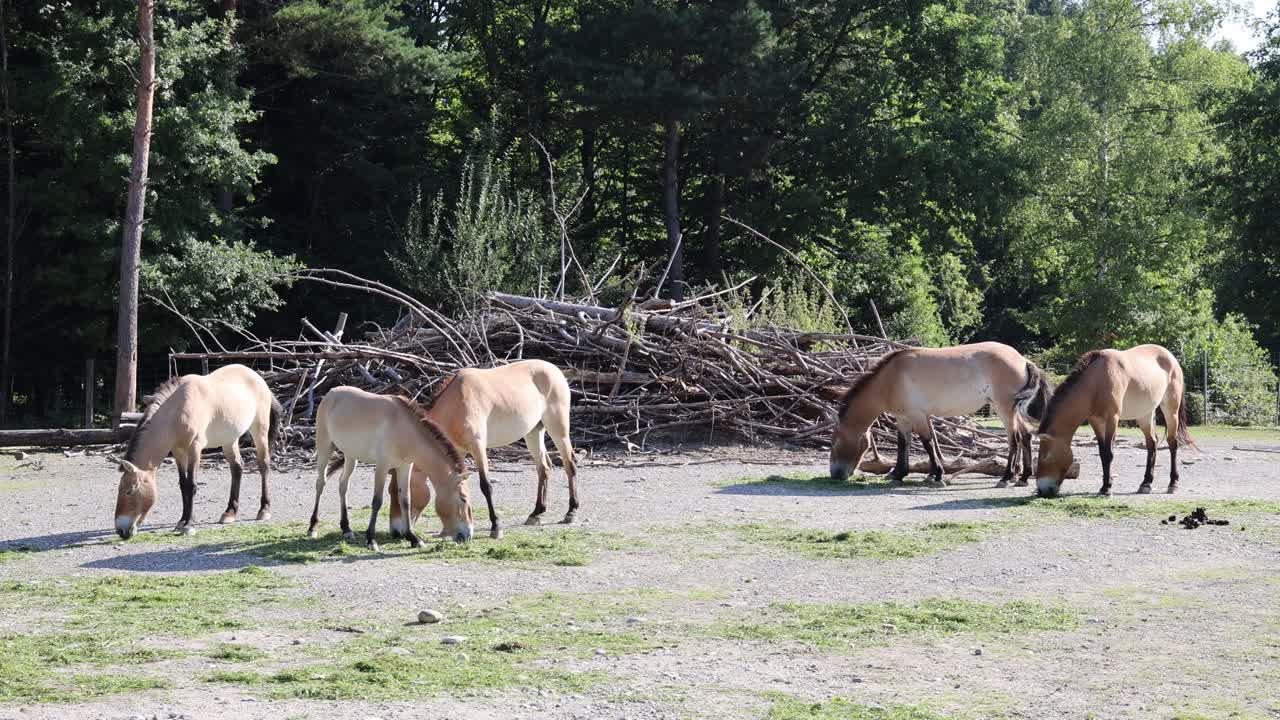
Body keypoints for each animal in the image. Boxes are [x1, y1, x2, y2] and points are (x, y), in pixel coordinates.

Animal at [113, 364, 282, 540]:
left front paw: (189, 525)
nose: (121, 530)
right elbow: (183, 484)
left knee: (263, 465)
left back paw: (264, 510)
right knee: (237, 468)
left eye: (130, 491)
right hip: (229, 439)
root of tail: (259, 378)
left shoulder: (194, 449)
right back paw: (229, 513)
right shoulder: (178, 451)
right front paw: (182, 521)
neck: (178, 411)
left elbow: (192, 485)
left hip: (259, 430)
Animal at [309, 386, 471, 550]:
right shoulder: (382, 466)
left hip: (351, 456)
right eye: (463, 499)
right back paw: (313, 528)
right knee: (320, 483)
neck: (402, 428)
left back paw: (346, 529)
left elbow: (406, 500)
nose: (468, 535)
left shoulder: (405, 467)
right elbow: (377, 502)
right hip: (324, 448)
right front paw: (371, 540)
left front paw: (413, 538)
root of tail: (331, 392)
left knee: (343, 485)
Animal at [385, 359, 578, 541]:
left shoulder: (478, 447)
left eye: (398, 492)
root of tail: (555, 370)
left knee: (570, 464)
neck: (456, 404)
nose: (396, 532)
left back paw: (571, 512)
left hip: (558, 429)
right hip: (533, 432)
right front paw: (446, 530)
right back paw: (536, 513)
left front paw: (496, 528)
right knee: (544, 468)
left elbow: (485, 486)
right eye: (390, 492)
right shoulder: (458, 451)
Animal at [829, 342, 1052, 488]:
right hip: (1014, 410)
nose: (835, 475)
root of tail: (1023, 361)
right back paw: (1022, 477)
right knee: (1025, 437)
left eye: (835, 442)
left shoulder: (918, 415)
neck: (890, 380)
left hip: (1004, 408)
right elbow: (904, 444)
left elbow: (927, 443)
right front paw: (899, 474)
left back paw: (1006, 478)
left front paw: (937, 476)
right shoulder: (903, 418)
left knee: (1014, 439)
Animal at [1035, 344, 1194, 499]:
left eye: (1045, 456)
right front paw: (1105, 486)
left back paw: (1173, 484)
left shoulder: (1112, 419)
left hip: (1171, 411)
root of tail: (1171, 357)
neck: (1096, 381)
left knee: (1172, 443)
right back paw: (1145, 484)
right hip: (1145, 414)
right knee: (1152, 443)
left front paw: (1107, 489)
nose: (1042, 490)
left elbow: (1109, 454)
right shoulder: (1096, 421)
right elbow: (1102, 453)